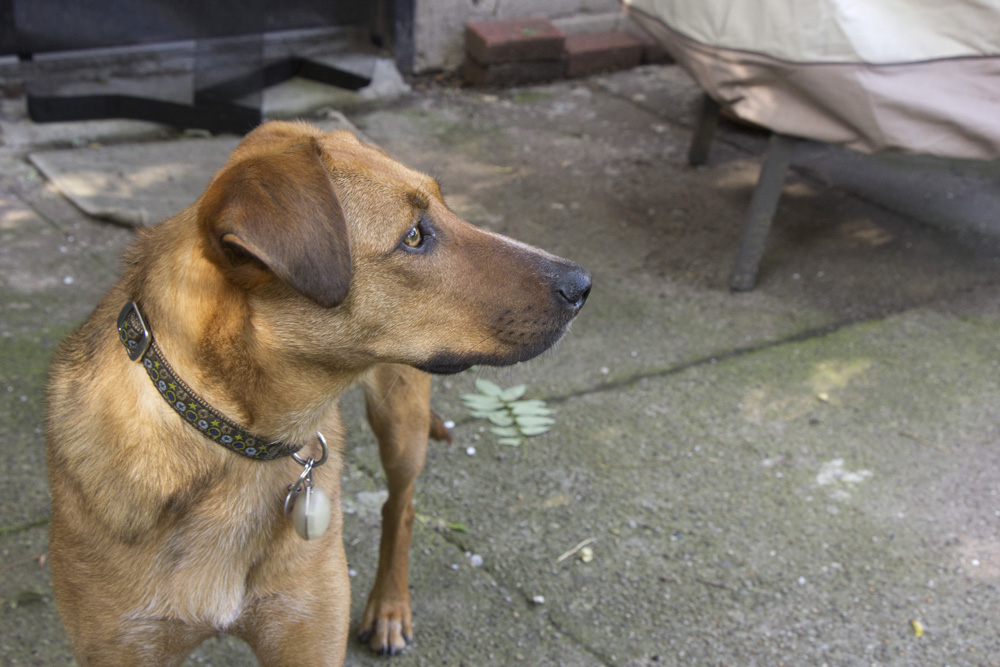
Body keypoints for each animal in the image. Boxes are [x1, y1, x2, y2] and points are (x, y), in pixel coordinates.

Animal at [47, 121, 588, 667]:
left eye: (445, 206)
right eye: (414, 236)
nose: (583, 284)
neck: (238, 443)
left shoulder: (307, 631)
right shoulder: (124, 644)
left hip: (402, 420)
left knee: (401, 507)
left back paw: (389, 608)